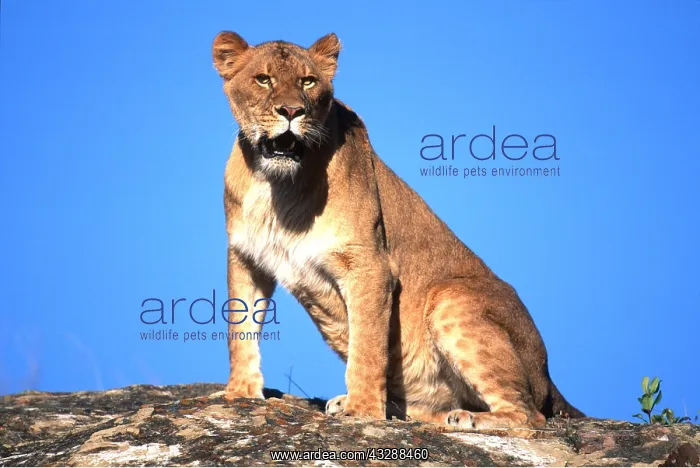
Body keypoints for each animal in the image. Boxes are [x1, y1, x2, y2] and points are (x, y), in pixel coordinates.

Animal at [212, 31, 584, 429]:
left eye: (307, 82)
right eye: (263, 79)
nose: (292, 111)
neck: (276, 187)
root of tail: (548, 377)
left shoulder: (371, 265)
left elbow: (368, 346)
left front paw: (362, 410)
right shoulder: (246, 258)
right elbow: (240, 331)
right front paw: (240, 392)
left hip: (449, 298)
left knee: (530, 415)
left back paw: (466, 419)